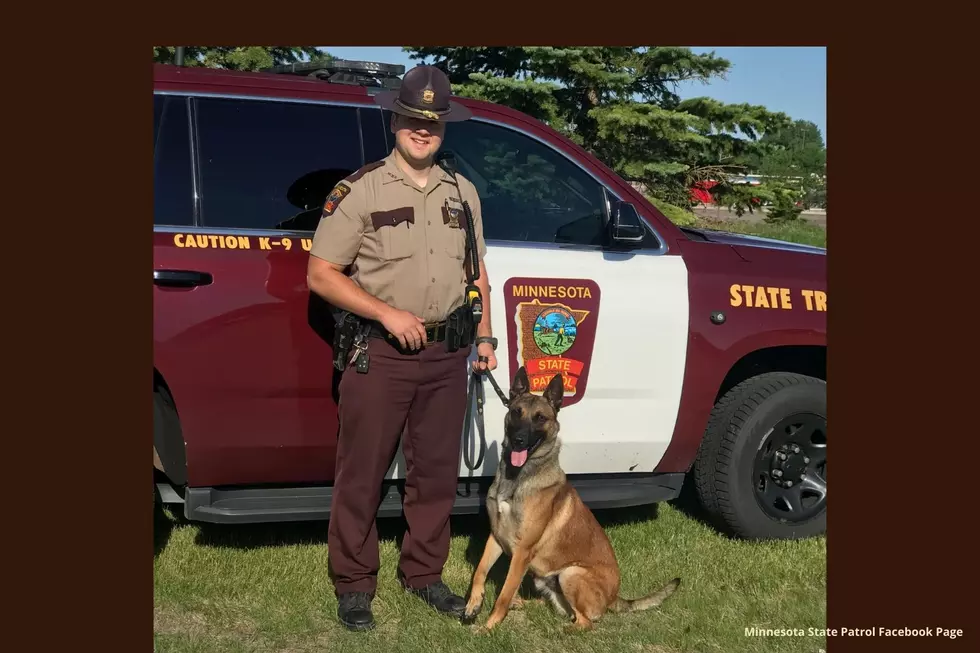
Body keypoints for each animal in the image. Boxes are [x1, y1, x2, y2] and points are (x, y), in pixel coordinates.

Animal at [462, 370, 676, 628]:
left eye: (540, 418)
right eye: (516, 412)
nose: (519, 440)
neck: (517, 477)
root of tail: (614, 597)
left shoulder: (522, 551)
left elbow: (503, 594)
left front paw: (489, 627)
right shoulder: (496, 536)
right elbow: (480, 571)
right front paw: (473, 604)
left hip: (570, 573)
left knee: (585, 622)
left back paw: (560, 629)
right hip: (546, 579)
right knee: (557, 606)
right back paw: (523, 604)